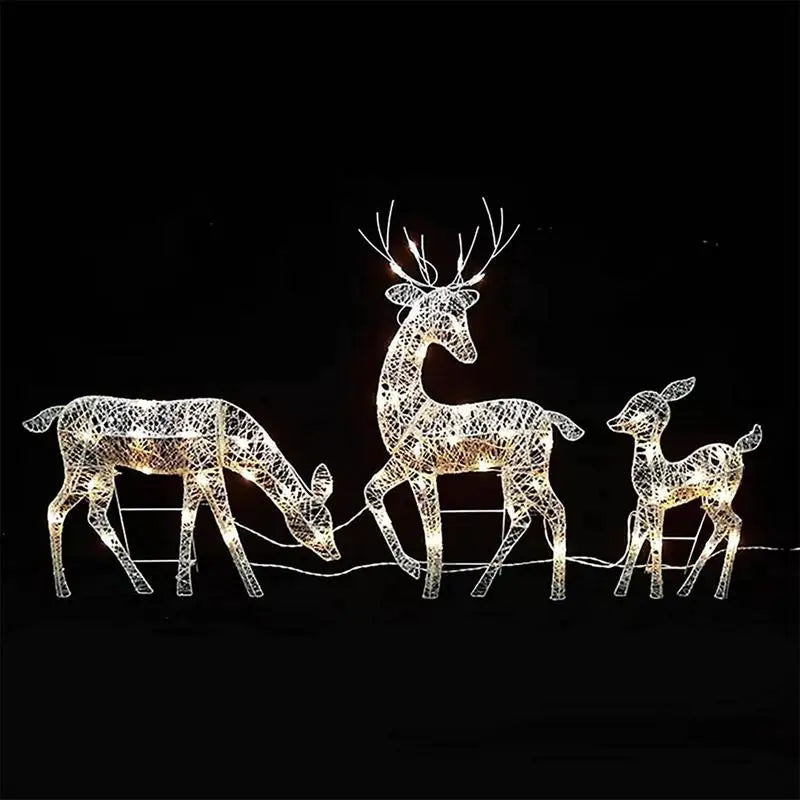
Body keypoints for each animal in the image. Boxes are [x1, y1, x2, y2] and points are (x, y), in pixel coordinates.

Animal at [23, 396, 338, 598]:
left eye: (329, 522)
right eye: (312, 527)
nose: (334, 554)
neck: (231, 441)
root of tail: (61, 412)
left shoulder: (195, 472)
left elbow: (188, 520)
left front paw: (183, 587)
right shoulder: (208, 469)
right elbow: (227, 526)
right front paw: (255, 590)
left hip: (102, 473)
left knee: (94, 515)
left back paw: (142, 584)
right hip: (81, 465)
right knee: (55, 508)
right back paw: (63, 589)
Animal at [358, 198, 585, 600]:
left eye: (462, 312)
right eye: (437, 311)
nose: (469, 353)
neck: (409, 407)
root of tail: (549, 416)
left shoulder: (421, 467)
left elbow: (435, 538)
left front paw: (429, 587)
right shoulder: (407, 465)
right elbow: (373, 492)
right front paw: (412, 568)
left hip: (529, 468)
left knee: (555, 511)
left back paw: (556, 590)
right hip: (513, 472)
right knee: (524, 517)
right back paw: (481, 586)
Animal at [606, 377, 762, 600]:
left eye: (637, 408)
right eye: (629, 404)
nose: (613, 421)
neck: (655, 466)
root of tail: (738, 450)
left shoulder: (656, 505)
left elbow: (656, 541)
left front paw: (656, 591)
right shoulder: (643, 504)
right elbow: (636, 542)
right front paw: (621, 590)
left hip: (719, 498)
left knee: (734, 523)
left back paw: (717, 591)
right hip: (712, 502)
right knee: (725, 525)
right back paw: (689, 589)